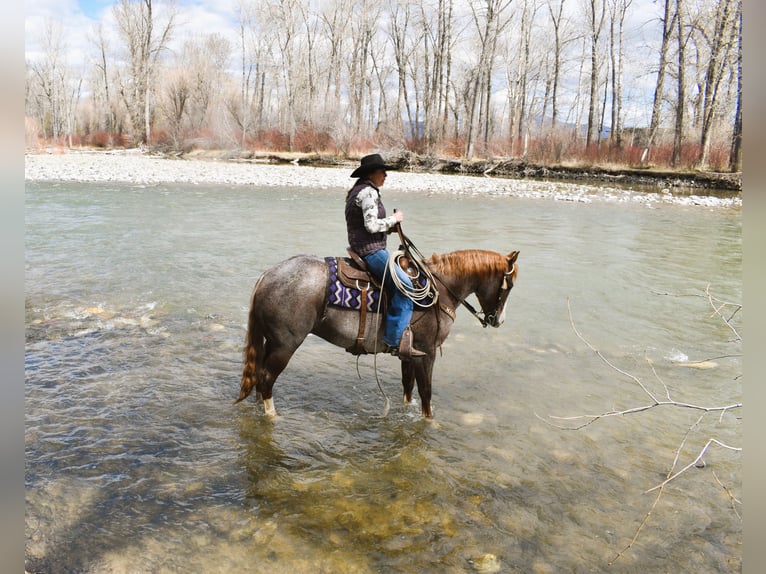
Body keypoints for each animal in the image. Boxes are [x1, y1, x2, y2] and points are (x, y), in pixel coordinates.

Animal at [235, 248, 519, 418]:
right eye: (509, 285)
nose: (499, 320)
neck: (439, 290)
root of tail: (266, 276)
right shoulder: (426, 352)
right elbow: (426, 392)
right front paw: (429, 422)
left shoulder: (410, 354)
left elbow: (408, 386)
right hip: (285, 345)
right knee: (267, 378)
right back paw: (272, 417)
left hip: (271, 343)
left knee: (259, 376)